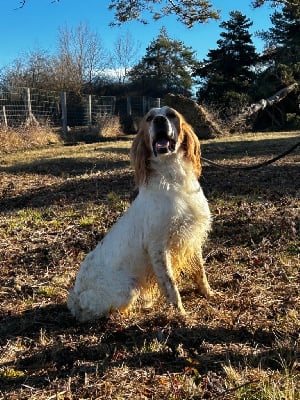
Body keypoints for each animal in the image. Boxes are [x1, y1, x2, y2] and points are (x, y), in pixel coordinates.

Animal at [67, 106, 214, 322]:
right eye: (149, 118)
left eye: (171, 114)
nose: (160, 120)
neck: (173, 177)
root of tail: (76, 295)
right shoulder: (158, 247)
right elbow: (170, 285)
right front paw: (180, 314)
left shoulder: (192, 238)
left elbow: (200, 272)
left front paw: (210, 294)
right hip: (128, 289)